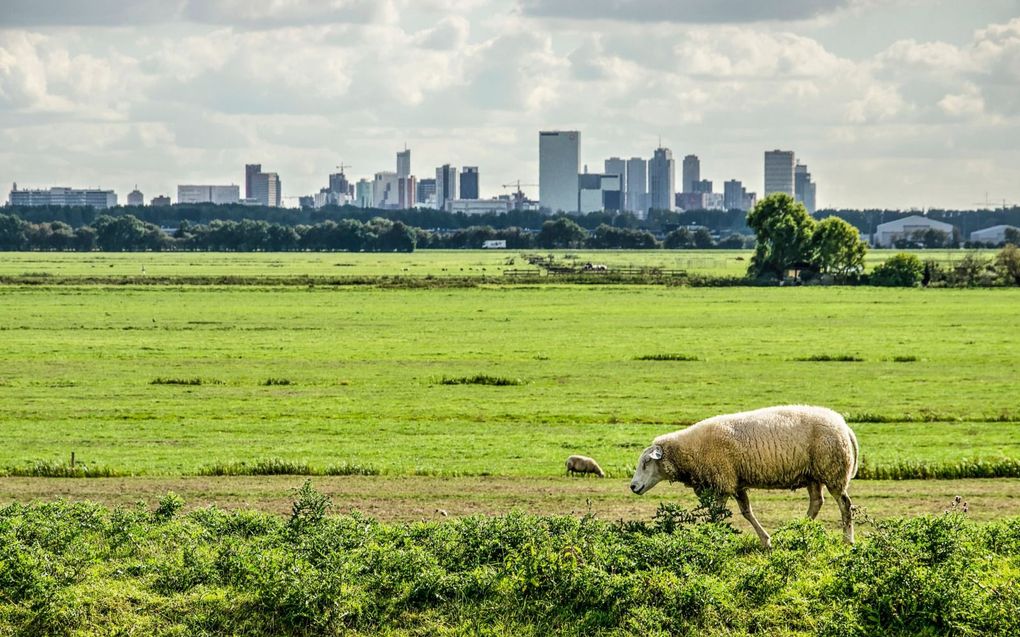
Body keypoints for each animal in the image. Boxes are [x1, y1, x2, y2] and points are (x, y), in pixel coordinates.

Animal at [628, 401, 860, 546]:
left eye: (647, 462)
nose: (633, 486)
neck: (691, 450)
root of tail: (843, 425)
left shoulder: (722, 481)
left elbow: (717, 514)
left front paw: (711, 537)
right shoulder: (735, 482)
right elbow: (747, 512)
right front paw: (766, 540)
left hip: (833, 471)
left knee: (844, 504)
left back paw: (847, 539)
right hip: (813, 475)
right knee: (816, 503)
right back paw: (796, 531)